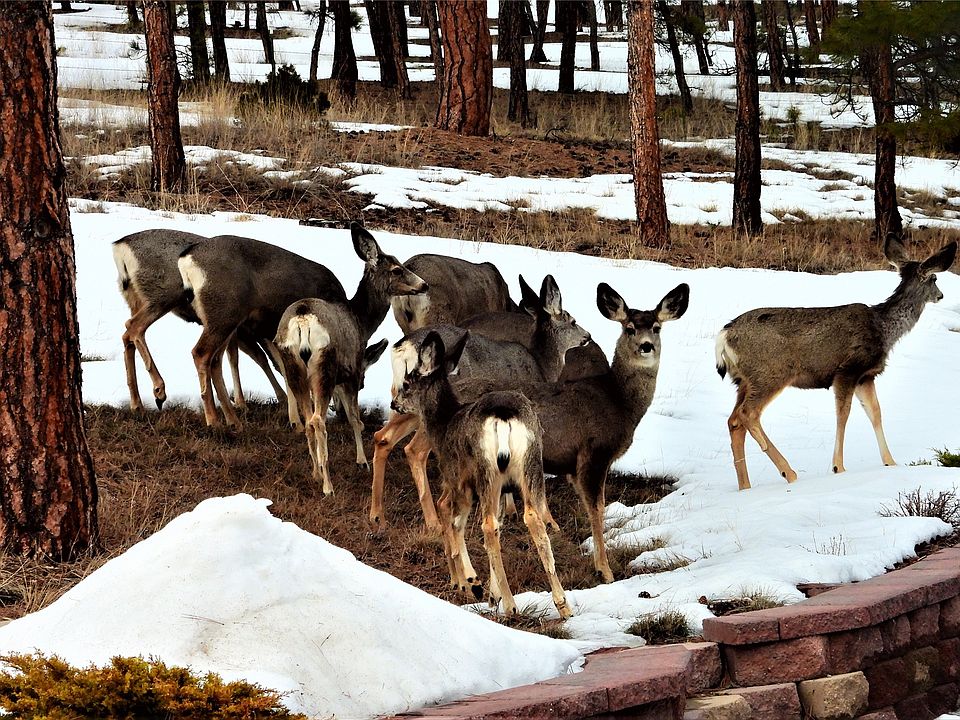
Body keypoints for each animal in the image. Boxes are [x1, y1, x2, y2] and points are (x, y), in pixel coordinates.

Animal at [112, 229, 286, 412]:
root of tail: (120, 247)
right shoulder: (236, 326)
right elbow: (254, 357)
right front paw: (258, 401)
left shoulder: (235, 329)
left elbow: (243, 357)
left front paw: (240, 402)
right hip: (162, 296)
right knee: (134, 327)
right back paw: (159, 390)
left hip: (134, 298)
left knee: (127, 335)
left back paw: (137, 403)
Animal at [177, 222, 426, 431]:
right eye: (397, 269)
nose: (423, 284)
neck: (356, 313)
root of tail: (186, 258)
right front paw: (303, 420)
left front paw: (295, 419)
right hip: (224, 312)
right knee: (201, 353)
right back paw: (213, 420)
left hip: (225, 320)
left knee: (216, 360)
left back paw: (233, 420)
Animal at [369, 274, 595, 532]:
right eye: (572, 320)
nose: (588, 336)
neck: (541, 365)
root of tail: (403, 348)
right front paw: (541, 519)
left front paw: (507, 509)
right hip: (432, 407)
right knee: (414, 450)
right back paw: (433, 522)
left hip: (404, 402)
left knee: (382, 437)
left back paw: (377, 515)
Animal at [391, 330, 571, 619]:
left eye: (407, 383)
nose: (394, 403)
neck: (443, 423)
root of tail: (503, 416)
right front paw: (490, 591)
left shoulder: (457, 479)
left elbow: (455, 522)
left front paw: (473, 583)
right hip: (531, 465)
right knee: (533, 521)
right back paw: (563, 604)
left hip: (486, 471)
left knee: (485, 524)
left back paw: (510, 604)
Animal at [716, 236, 958, 491]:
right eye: (934, 278)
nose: (941, 295)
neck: (883, 329)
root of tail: (724, 335)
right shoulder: (848, 370)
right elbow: (843, 414)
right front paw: (838, 467)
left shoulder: (866, 376)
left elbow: (875, 412)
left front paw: (890, 462)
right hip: (770, 373)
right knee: (748, 414)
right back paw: (788, 471)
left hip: (743, 381)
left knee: (734, 421)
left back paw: (745, 486)